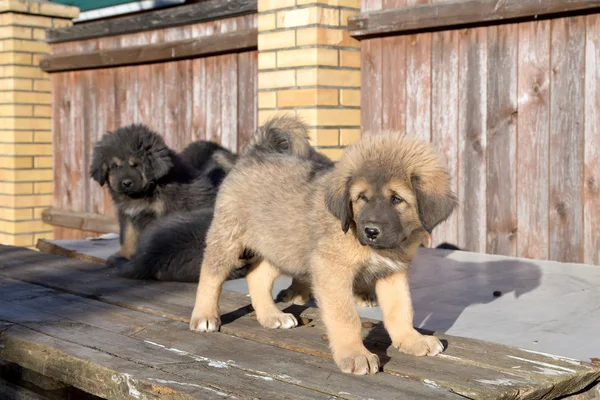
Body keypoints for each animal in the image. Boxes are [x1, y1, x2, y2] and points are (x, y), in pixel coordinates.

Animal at [190, 115, 458, 376]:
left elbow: (401, 311)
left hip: (279, 244)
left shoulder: (393, 272)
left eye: (397, 199)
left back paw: (271, 316)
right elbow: (346, 317)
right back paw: (204, 316)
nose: (371, 231)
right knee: (210, 275)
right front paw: (354, 354)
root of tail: (254, 153)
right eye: (361, 197)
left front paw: (412, 340)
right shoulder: (332, 268)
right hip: (228, 237)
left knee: (257, 276)